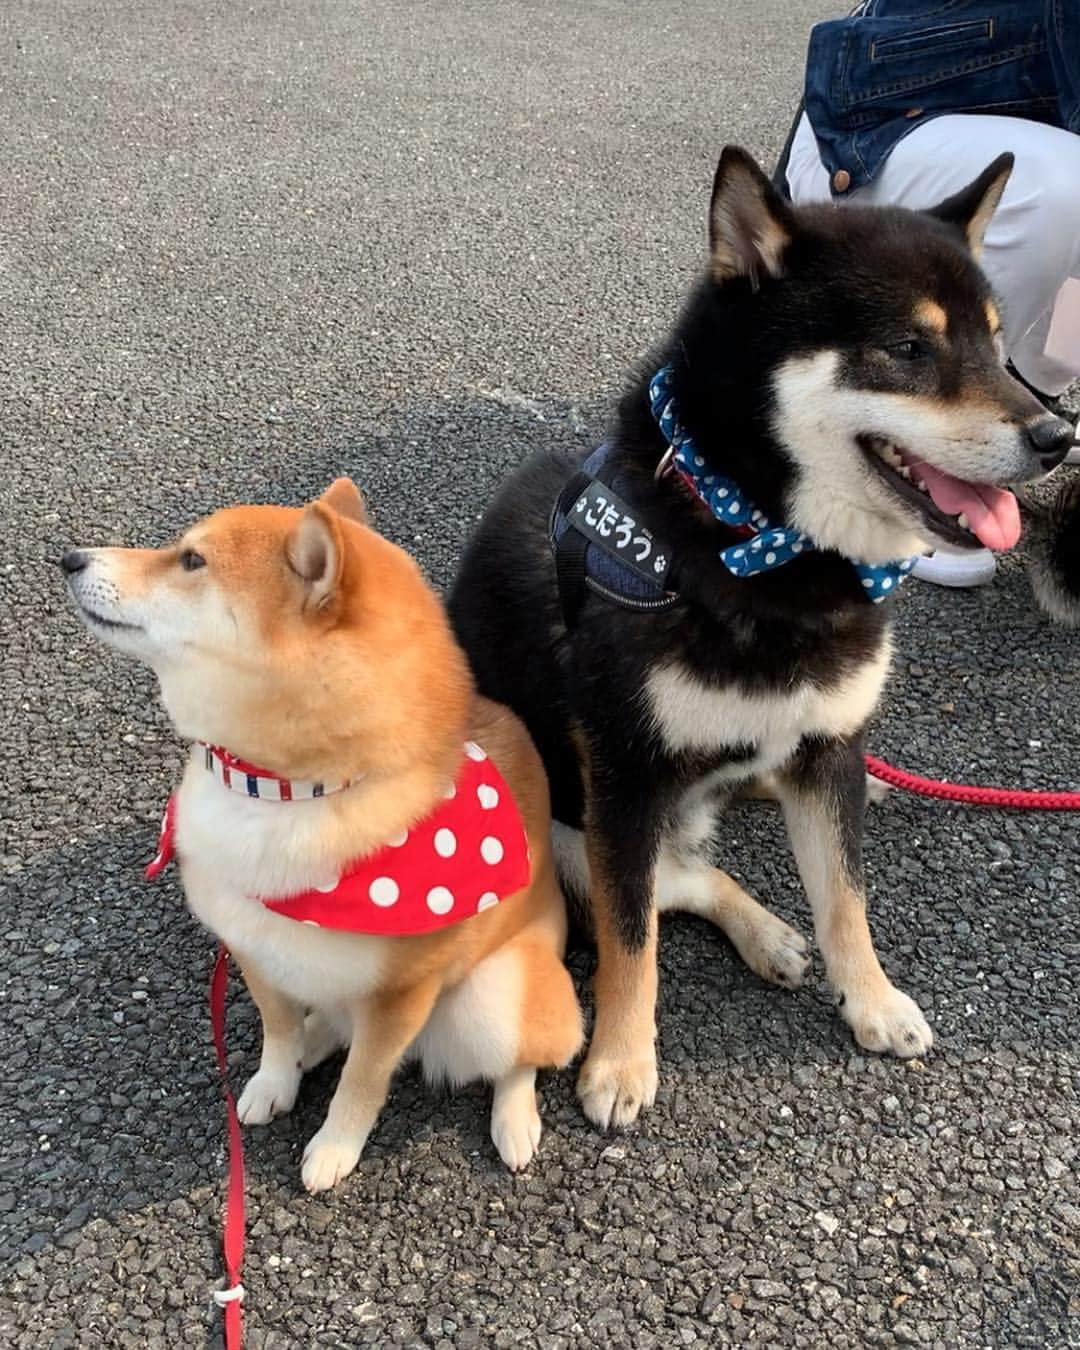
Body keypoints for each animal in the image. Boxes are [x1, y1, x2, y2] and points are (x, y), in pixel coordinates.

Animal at [61, 477, 583, 1193]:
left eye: (192, 560)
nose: (71, 559)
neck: (282, 792)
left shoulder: (400, 995)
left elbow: (363, 1081)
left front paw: (335, 1146)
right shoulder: (253, 948)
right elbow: (278, 1030)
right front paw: (273, 1079)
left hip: (492, 996)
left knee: (522, 1058)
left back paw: (515, 1121)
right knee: (332, 1022)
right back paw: (314, 1043)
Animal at [448, 145, 1069, 1128]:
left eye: (1002, 347)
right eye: (909, 348)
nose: (1058, 436)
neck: (763, 550)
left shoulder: (826, 743)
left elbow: (846, 898)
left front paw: (872, 1000)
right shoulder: (622, 778)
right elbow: (631, 941)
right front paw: (620, 1062)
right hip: (560, 830)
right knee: (672, 885)